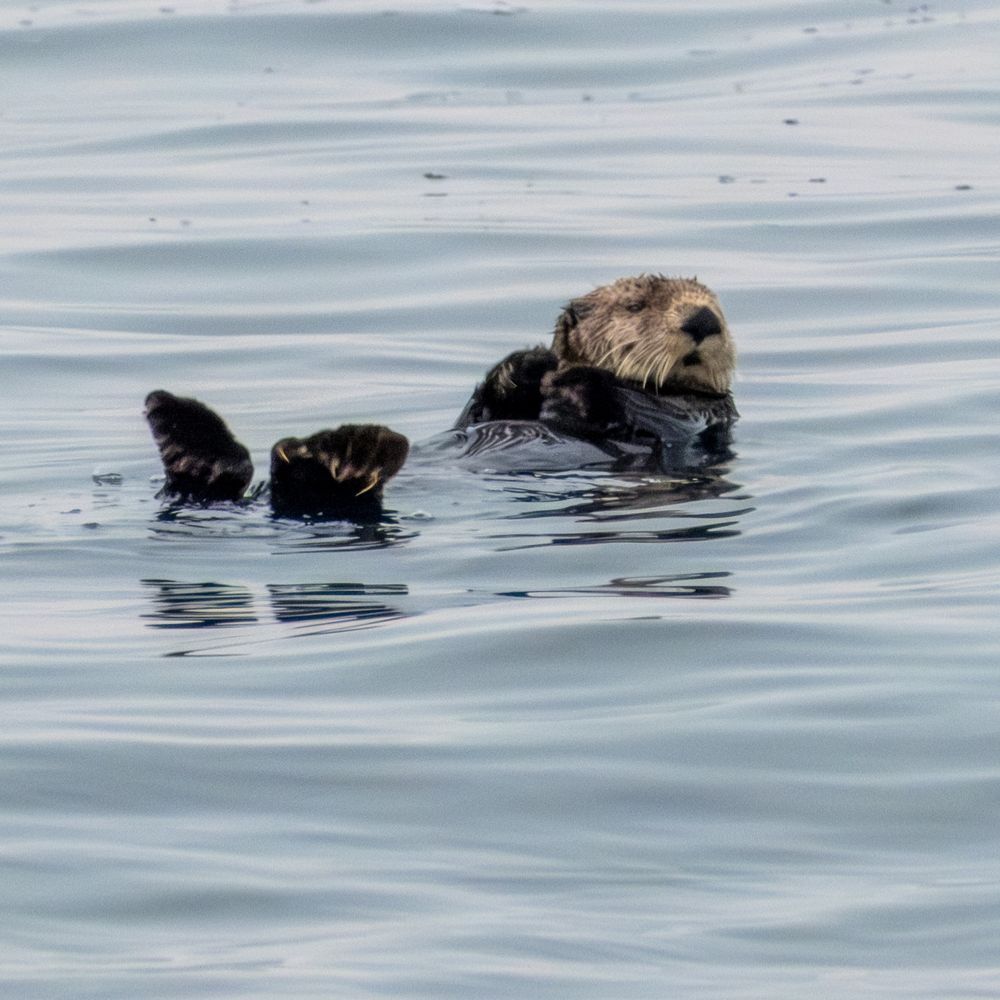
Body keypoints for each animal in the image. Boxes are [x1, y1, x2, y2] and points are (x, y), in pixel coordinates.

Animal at [145, 274, 737, 518]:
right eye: (637, 305)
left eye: (718, 308)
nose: (704, 320)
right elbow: (481, 409)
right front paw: (525, 366)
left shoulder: (695, 419)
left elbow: (638, 426)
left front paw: (571, 386)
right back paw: (178, 425)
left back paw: (345, 456)